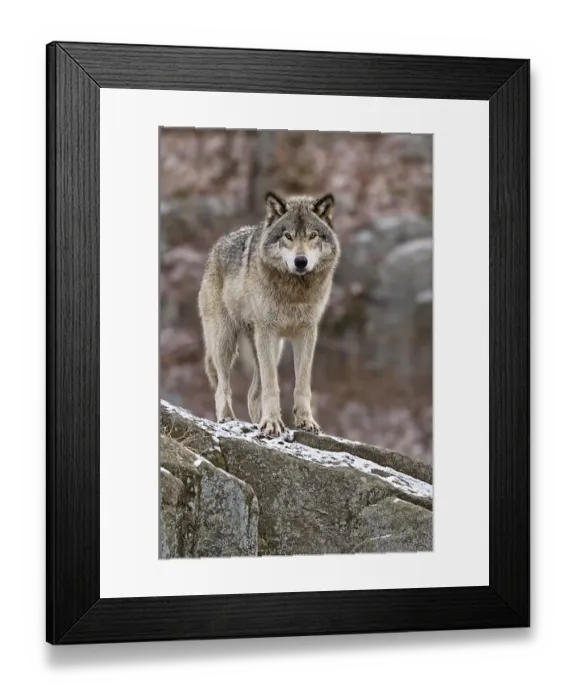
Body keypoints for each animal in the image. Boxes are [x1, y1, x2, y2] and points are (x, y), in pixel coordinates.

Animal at [198, 191, 340, 437]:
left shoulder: (307, 331)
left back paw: (256, 421)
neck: (294, 292)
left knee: (253, 392)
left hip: (272, 347)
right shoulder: (268, 331)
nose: (300, 261)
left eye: (313, 236)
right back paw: (228, 418)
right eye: (288, 236)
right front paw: (272, 423)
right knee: (222, 386)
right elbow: (272, 385)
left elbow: (302, 384)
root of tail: (216, 247)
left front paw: (306, 421)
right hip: (225, 341)